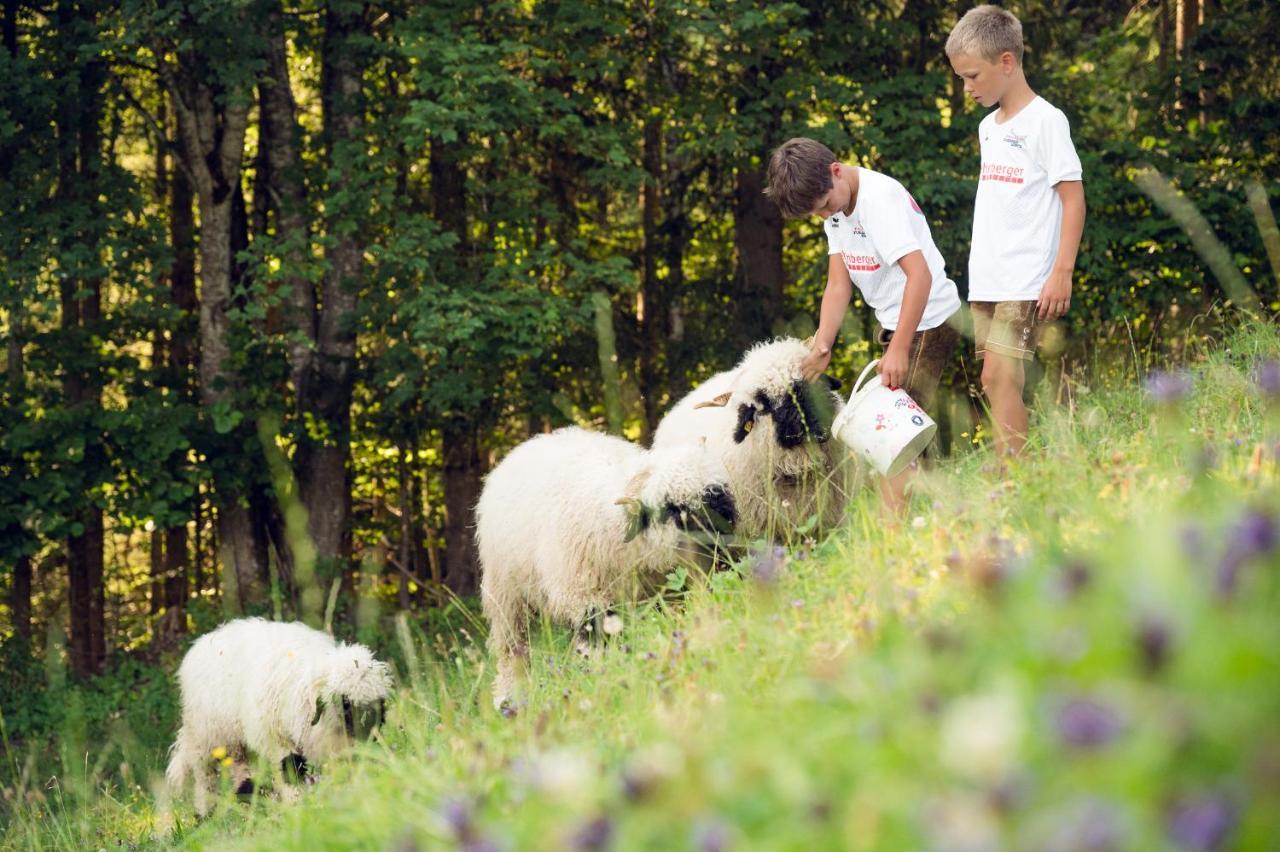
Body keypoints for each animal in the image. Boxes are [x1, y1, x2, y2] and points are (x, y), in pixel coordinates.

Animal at [167, 614, 391, 813]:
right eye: (345, 702)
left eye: (381, 703)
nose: (371, 736)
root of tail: (207, 637)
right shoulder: (275, 739)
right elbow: (290, 769)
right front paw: (296, 805)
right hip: (206, 735)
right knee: (203, 775)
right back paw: (206, 812)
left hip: (232, 740)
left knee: (239, 767)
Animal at [478, 424, 742, 711]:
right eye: (672, 508)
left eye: (718, 493)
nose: (719, 545)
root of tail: (536, 441)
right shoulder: (584, 596)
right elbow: (596, 642)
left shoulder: (670, 589)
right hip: (506, 597)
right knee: (513, 649)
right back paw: (510, 698)